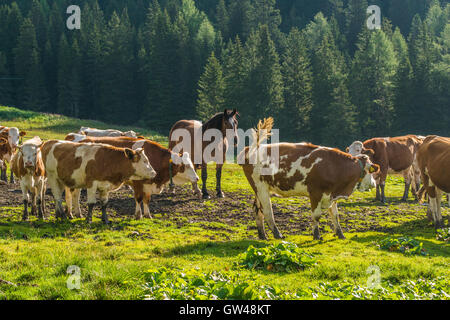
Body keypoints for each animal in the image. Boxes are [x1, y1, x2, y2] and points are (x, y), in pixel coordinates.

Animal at [66, 135, 200, 220]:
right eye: (185, 166)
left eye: (192, 165)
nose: (197, 178)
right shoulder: (138, 183)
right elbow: (139, 198)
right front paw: (138, 215)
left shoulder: (148, 184)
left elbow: (147, 200)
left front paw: (148, 215)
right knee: (73, 194)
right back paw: (73, 213)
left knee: (75, 194)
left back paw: (77, 213)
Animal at [239, 119, 380, 240]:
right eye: (370, 170)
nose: (374, 183)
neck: (334, 166)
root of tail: (251, 148)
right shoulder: (315, 193)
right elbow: (316, 215)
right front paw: (316, 235)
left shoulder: (331, 195)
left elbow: (335, 215)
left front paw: (340, 234)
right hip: (260, 187)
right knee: (268, 211)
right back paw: (277, 234)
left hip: (260, 188)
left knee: (257, 210)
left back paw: (263, 235)